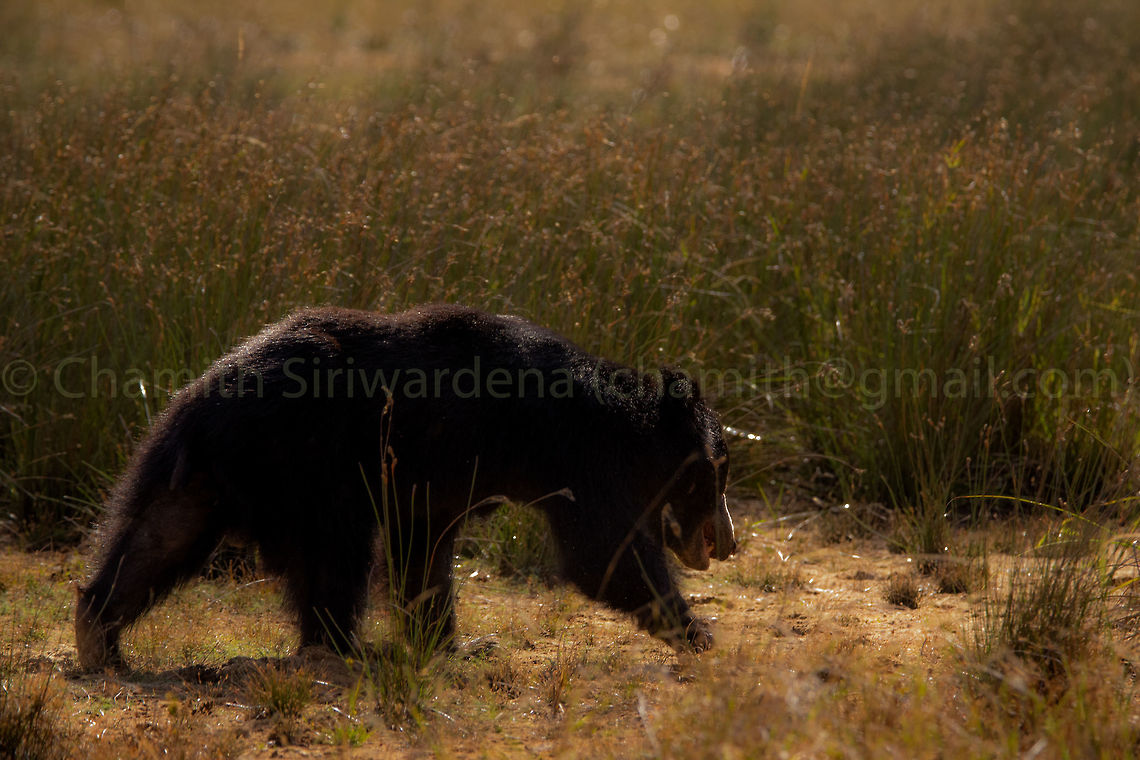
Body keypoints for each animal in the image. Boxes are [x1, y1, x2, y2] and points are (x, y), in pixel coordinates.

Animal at [75, 304, 738, 670]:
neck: (616, 424)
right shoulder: (572, 458)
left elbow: (427, 551)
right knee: (337, 556)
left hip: (201, 473)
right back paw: (346, 648)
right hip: (316, 460)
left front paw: (455, 645)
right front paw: (701, 634)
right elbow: (603, 553)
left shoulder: (442, 481)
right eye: (718, 474)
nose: (729, 543)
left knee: (156, 538)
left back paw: (99, 640)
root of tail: (207, 398)